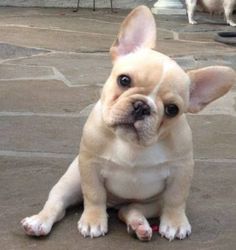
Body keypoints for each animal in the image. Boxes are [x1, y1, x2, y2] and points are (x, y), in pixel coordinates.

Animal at [21, 5, 235, 242]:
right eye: (124, 80)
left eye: (172, 109)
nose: (142, 106)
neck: (132, 144)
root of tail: (115, 203)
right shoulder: (90, 165)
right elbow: (94, 195)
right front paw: (93, 220)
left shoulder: (181, 170)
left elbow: (176, 199)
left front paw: (175, 223)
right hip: (71, 180)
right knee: (57, 203)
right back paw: (39, 222)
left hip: (151, 203)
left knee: (130, 209)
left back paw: (139, 225)